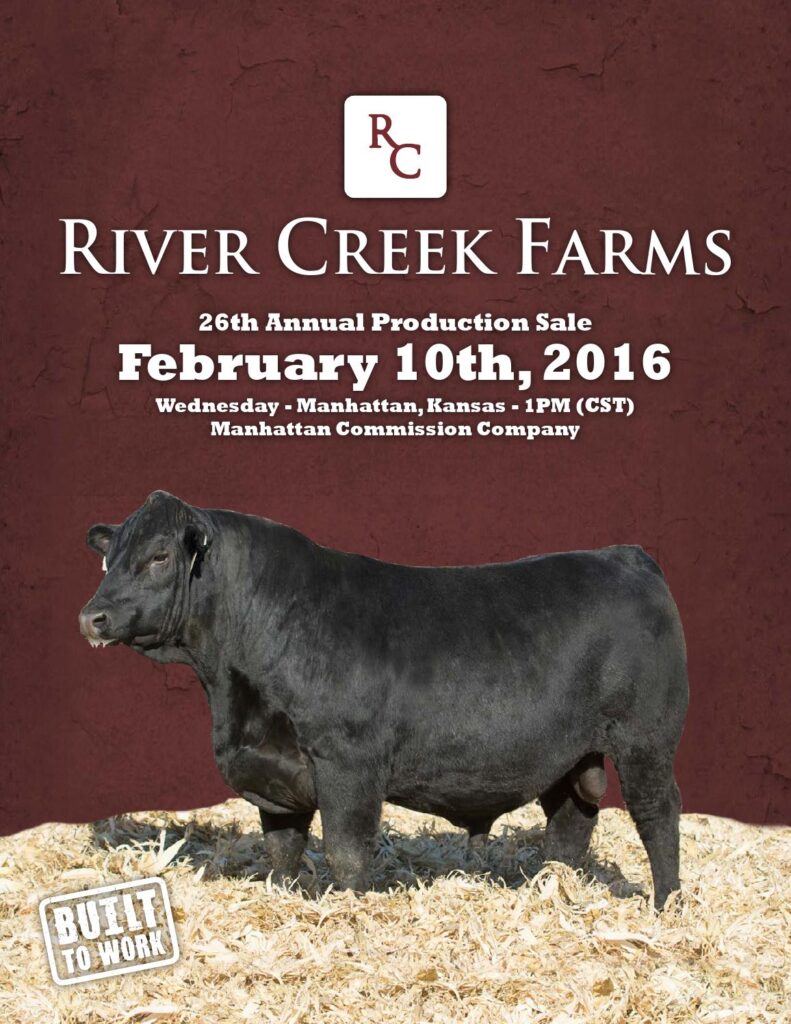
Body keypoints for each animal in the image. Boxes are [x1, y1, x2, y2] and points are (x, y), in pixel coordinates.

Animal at [79, 491, 688, 909]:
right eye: (110, 559)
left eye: (160, 556)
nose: (92, 617)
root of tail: (625, 555)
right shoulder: (273, 771)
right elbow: (281, 850)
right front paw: (285, 896)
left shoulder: (348, 764)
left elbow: (347, 853)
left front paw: (350, 910)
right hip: (571, 755)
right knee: (570, 823)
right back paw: (553, 887)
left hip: (646, 741)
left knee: (658, 814)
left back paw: (665, 906)